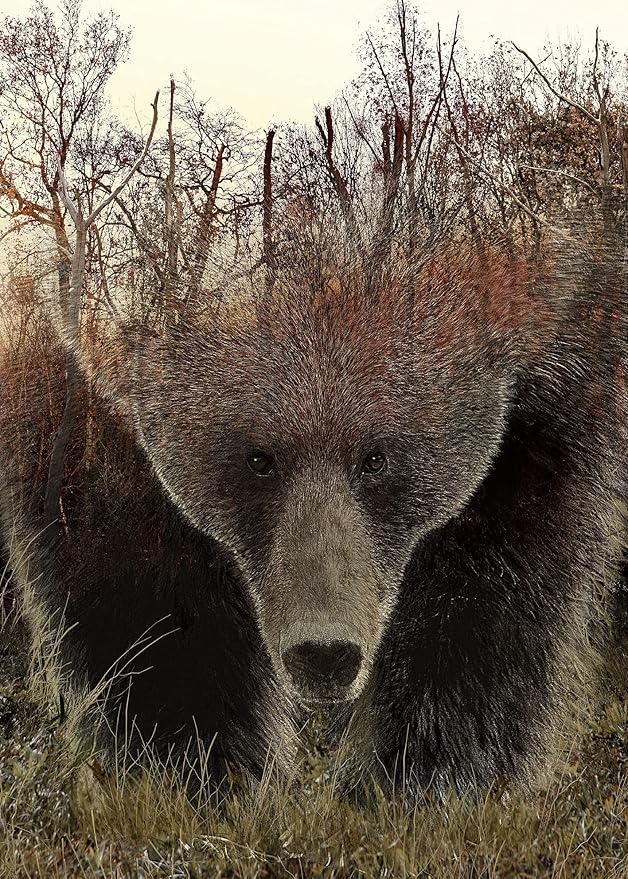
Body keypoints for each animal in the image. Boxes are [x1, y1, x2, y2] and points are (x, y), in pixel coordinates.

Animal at [0, 228, 625, 794]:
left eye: (376, 458)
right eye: (259, 459)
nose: (324, 651)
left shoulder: (563, 357)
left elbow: (497, 583)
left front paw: (424, 775)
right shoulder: (65, 387)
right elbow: (135, 592)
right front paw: (195, 766)